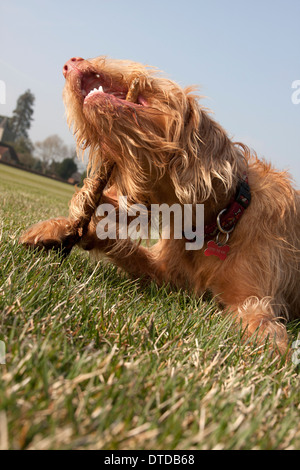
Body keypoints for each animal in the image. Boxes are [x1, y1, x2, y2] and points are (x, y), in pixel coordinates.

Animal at [19, 55, 298, 354]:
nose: (71, 61)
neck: (217, 223)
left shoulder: (253, 297)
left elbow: (259, 321)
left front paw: (271, 346)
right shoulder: (166, 276)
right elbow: (124, 246)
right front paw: (59, 228)